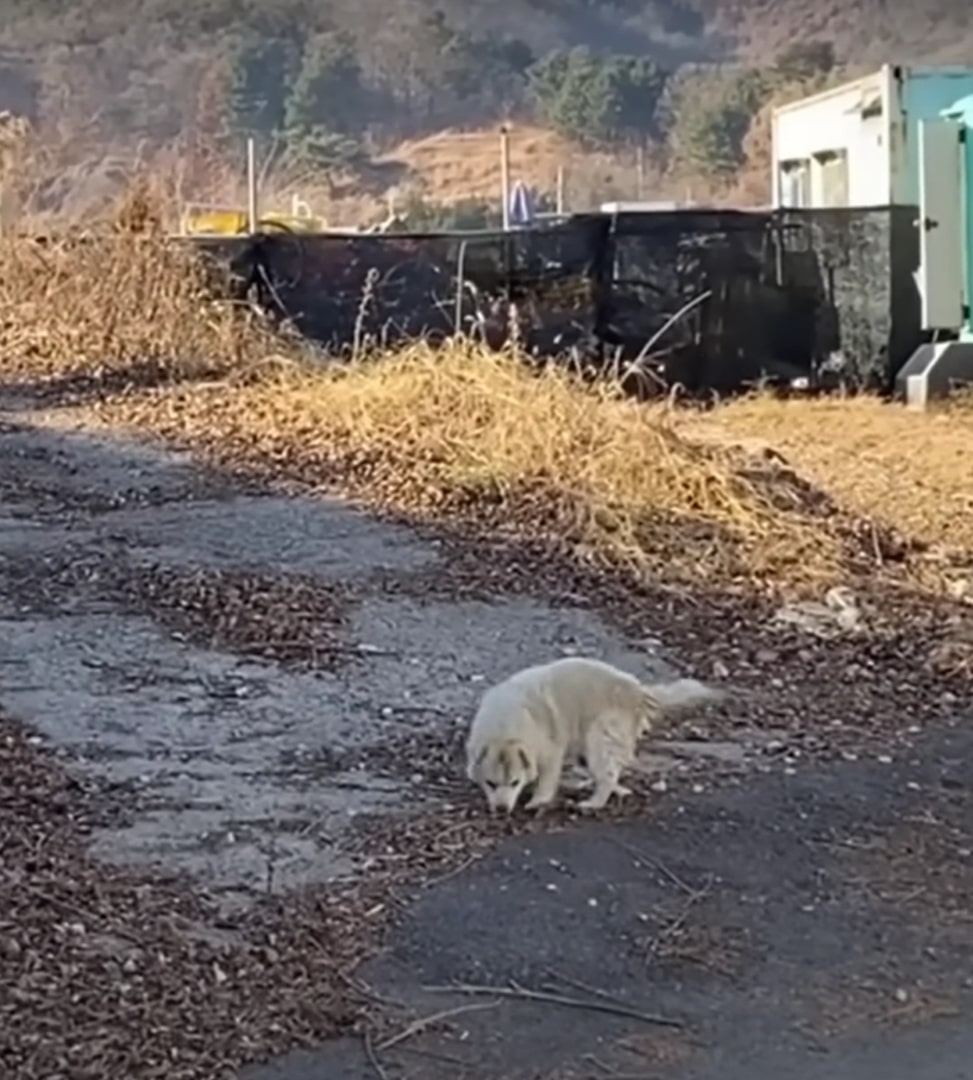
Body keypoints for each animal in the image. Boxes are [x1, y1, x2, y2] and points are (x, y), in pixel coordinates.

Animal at [462, 652, 721, 812]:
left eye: (515, 782)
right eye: (491, 783)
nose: (501, 809)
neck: (505, 728)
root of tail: (638, 691)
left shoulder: (550, 750)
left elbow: (547, 777)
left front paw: (538, 801)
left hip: (600, 735)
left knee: (606, 773)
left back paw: (594, 802)